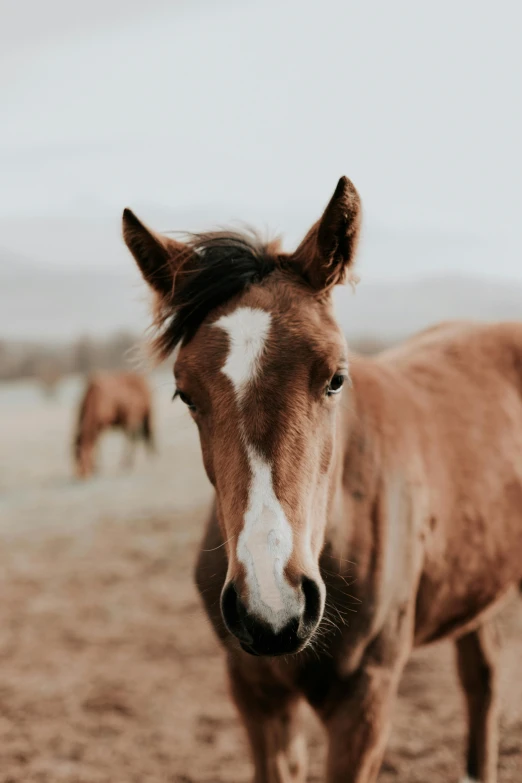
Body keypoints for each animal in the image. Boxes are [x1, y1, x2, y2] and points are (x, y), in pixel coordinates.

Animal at [121, 179, 520, 783]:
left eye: (336, 377)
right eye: (184, 393)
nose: (273, 603)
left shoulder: (366, 699)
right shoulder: (256, 695)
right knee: (481, 681)